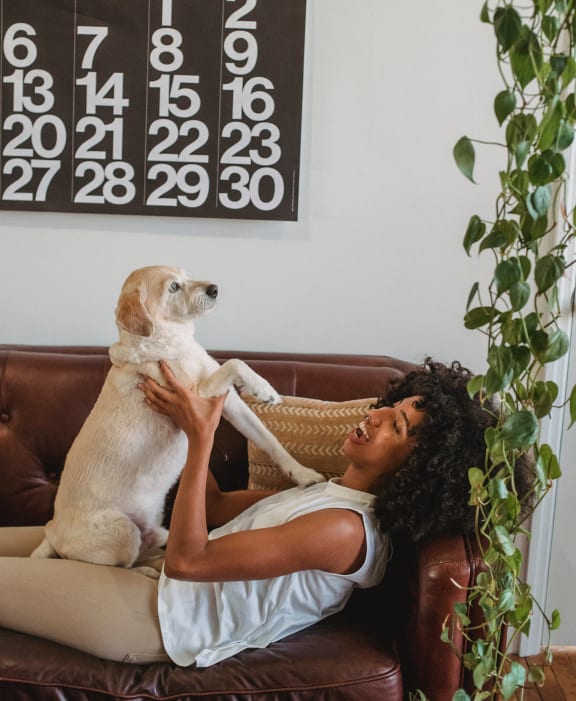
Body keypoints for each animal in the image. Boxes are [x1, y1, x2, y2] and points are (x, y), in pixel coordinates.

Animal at [30, 266, 324, 568]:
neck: (170, 339)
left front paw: (303, 474)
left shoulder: (228, 402)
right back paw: (149, 569)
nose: (214, 289)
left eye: (187, 275)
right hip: (123, 531)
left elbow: (269, 440)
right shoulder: (195, 396)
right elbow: (235, 363)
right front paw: (264, 388)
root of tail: (51, 533)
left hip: (152, 527)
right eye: (173, 287)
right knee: (127, 563)